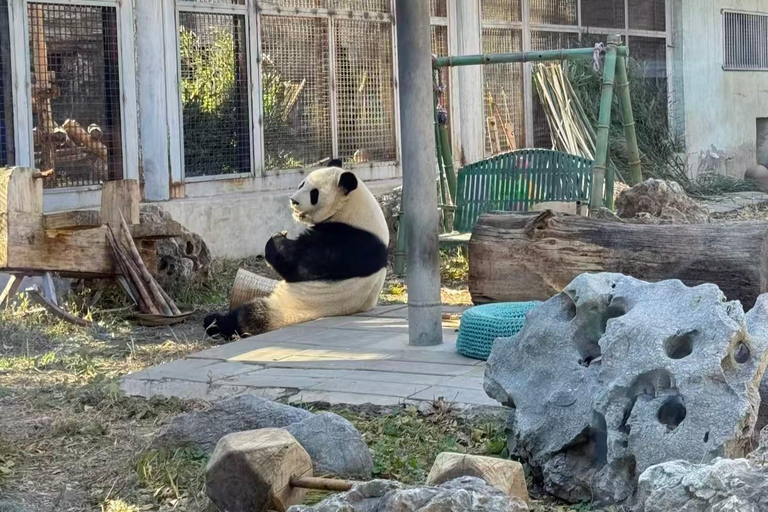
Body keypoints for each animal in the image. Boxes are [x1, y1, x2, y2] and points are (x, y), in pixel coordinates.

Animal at [203, 159, 389, 340]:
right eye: (302, 184)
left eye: (314, 193)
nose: (293, 200)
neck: (350, 207)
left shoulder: (350, 241)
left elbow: (301, 263)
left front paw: (276, 239)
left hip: (289, 309)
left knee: (249, 316)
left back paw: (214, 322)